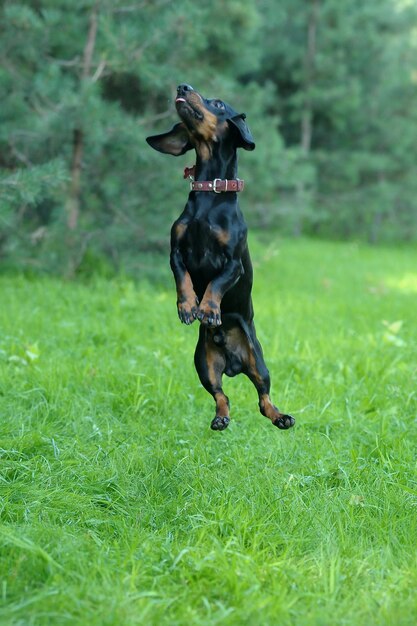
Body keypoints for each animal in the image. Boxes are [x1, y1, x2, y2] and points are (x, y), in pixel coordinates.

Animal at [145, 85, 292, 432]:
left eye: (219, 103)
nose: (182, 87)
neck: (209, 199)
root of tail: (233, 363)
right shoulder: (176, 252)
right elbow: (183, 279)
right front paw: (188, 307)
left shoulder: (233, 264)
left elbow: (215, 284)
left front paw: (209, 310)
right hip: (204, 364)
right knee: (222, 396)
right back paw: (221, 418)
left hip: (258, 361)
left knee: (264, 398)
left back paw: (281, 417)